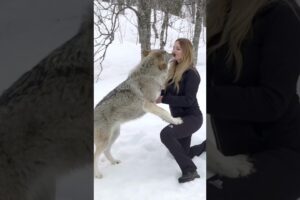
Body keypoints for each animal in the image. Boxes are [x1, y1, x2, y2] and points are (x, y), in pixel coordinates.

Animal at [94, 50, 183, 178]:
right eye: (166, 52)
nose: (174, 53)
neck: (150, 75)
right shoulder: (148, 104)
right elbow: (164, 111)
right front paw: (176, 121)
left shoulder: (154, 103)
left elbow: (163, 113)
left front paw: (170, 120)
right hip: (105, 140)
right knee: (95, 156)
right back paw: (97, 174)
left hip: (115, 135)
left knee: (106, 151)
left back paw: (114, 161)